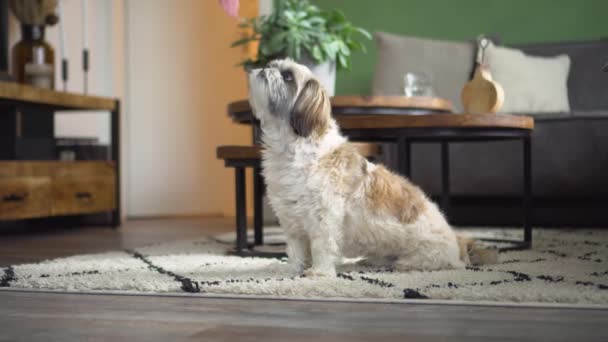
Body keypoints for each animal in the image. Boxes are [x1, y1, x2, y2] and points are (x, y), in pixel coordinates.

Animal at [248, 59, 498, 278]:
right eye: (272, 65)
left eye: (287, 76)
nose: (265, 68)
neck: (293, 148)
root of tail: (457, 240)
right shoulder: (291, 219)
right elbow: (296, 250)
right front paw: (292, 270)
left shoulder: (324, 217)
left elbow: (321, 245)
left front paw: (319, 272)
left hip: (426, 255)